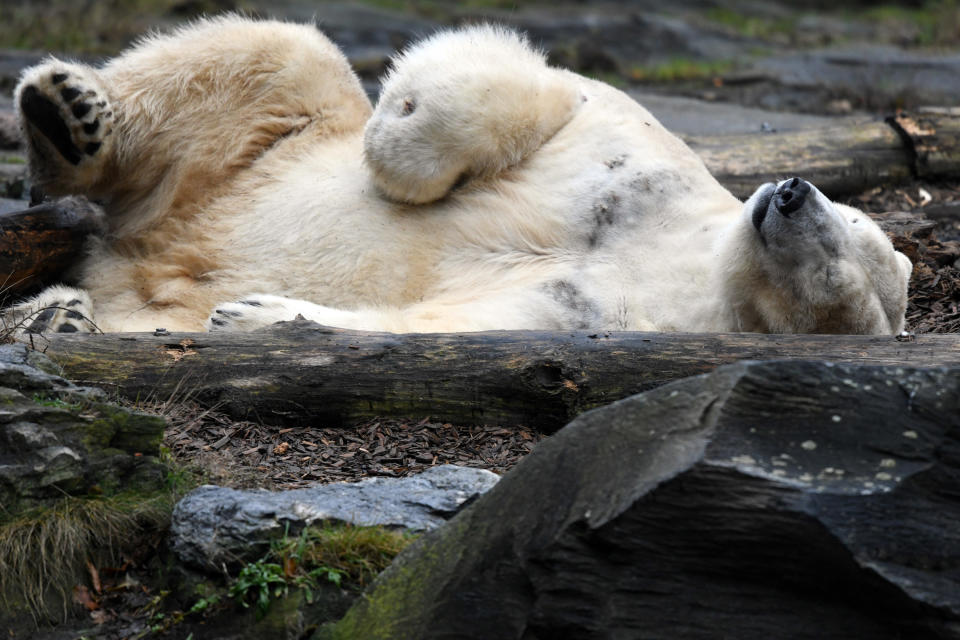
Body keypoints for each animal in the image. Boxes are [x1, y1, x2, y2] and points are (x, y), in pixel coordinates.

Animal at [5, 16, 908, 336]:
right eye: (858, 223)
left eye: (836, 277)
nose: (792, 193)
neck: (693, 260)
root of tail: (133, 257)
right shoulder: (649, 162)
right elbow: (544, 93)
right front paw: (399, 137)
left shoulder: (601, 317)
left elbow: (450, 326)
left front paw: (256, 314)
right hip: (238, 159)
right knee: (278, 57)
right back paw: (67, 117)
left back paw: (59, 315)